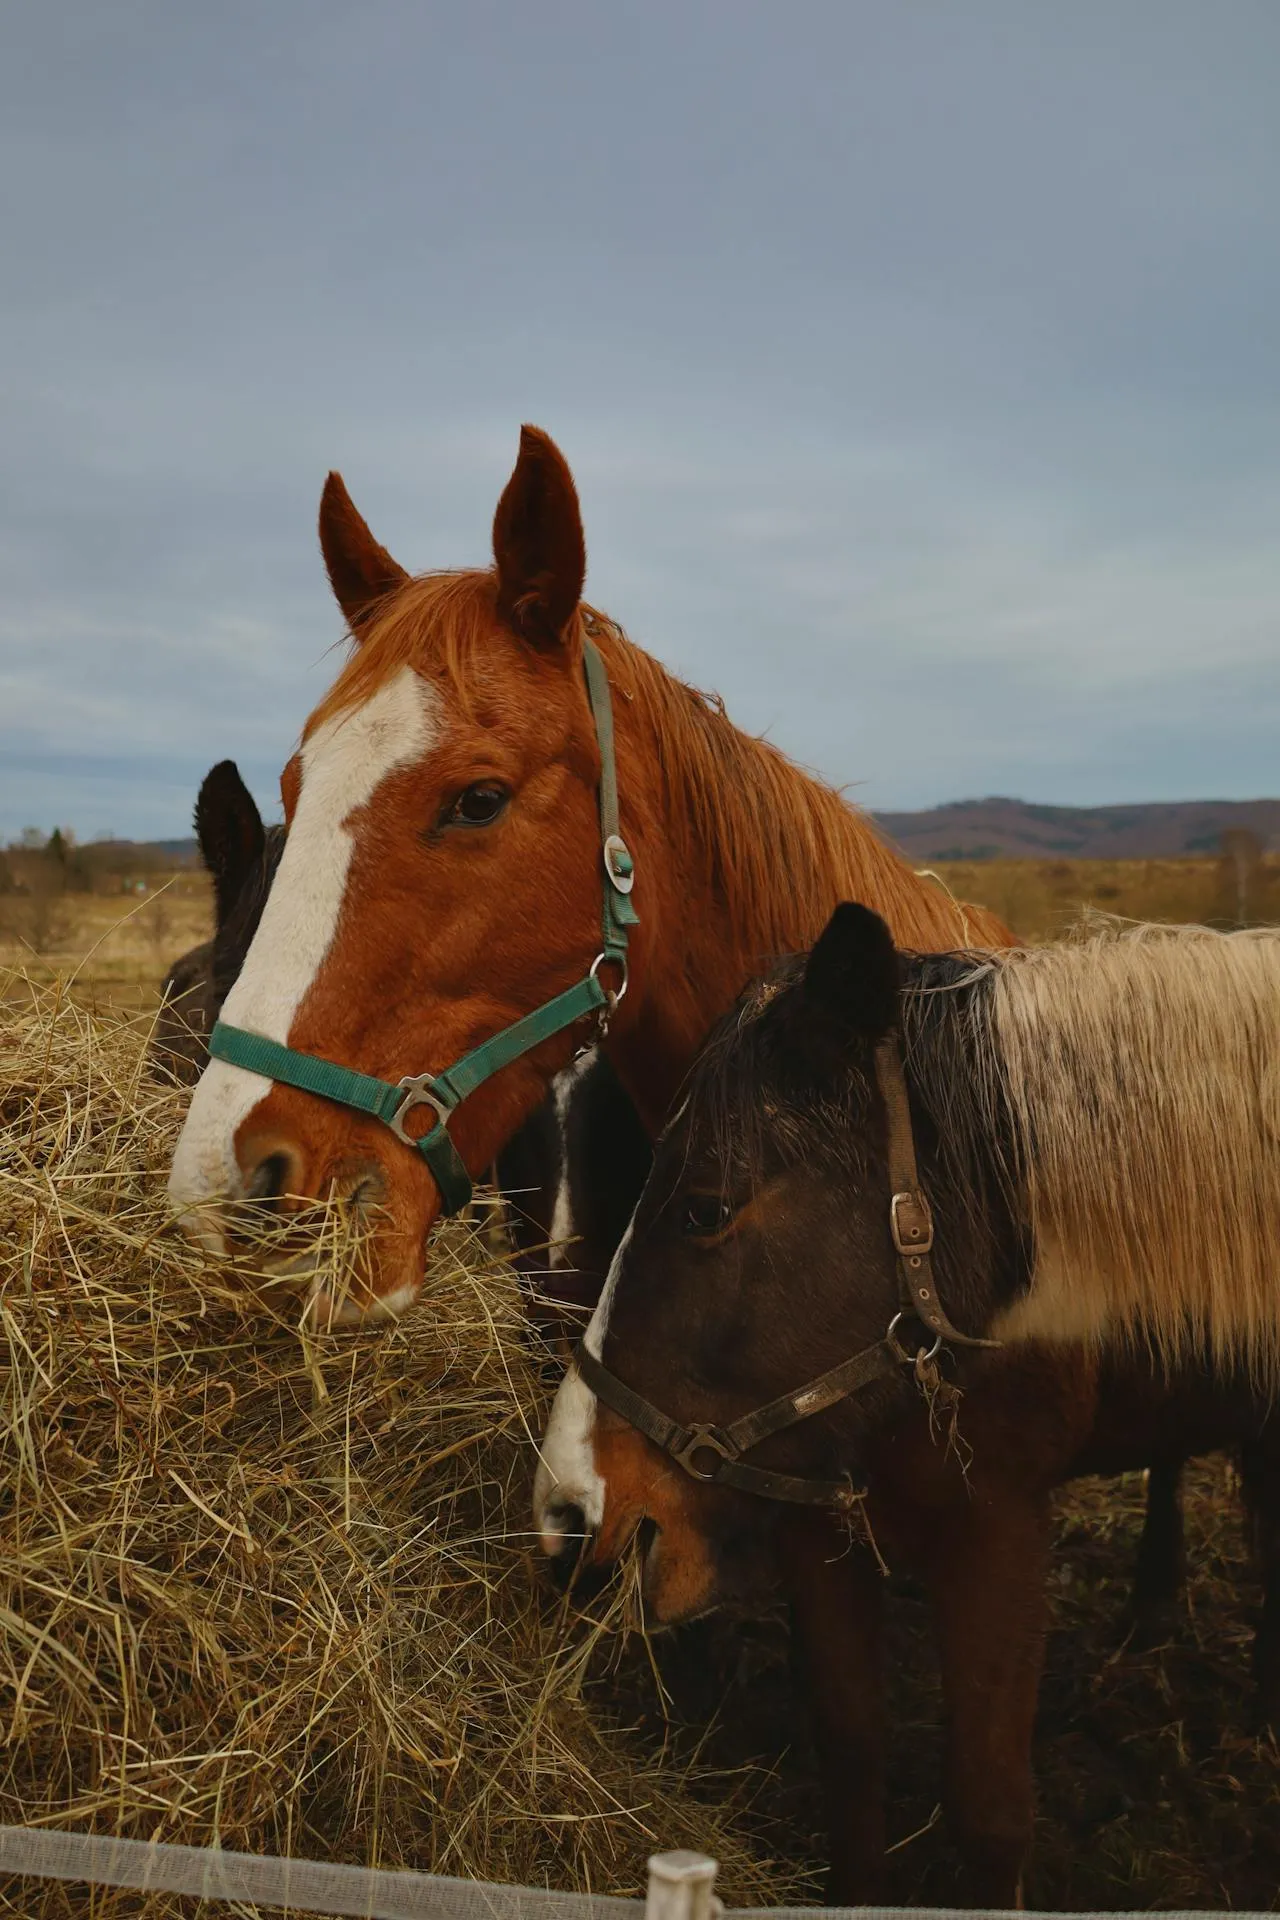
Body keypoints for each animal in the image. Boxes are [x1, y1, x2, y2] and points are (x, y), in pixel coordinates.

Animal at [535, 904, 1280, 1899]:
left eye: (703, 1208)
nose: (565, 1509)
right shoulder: (818, 1519)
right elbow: (853, 1756)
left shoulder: (999, 1531)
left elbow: (991, 1813)